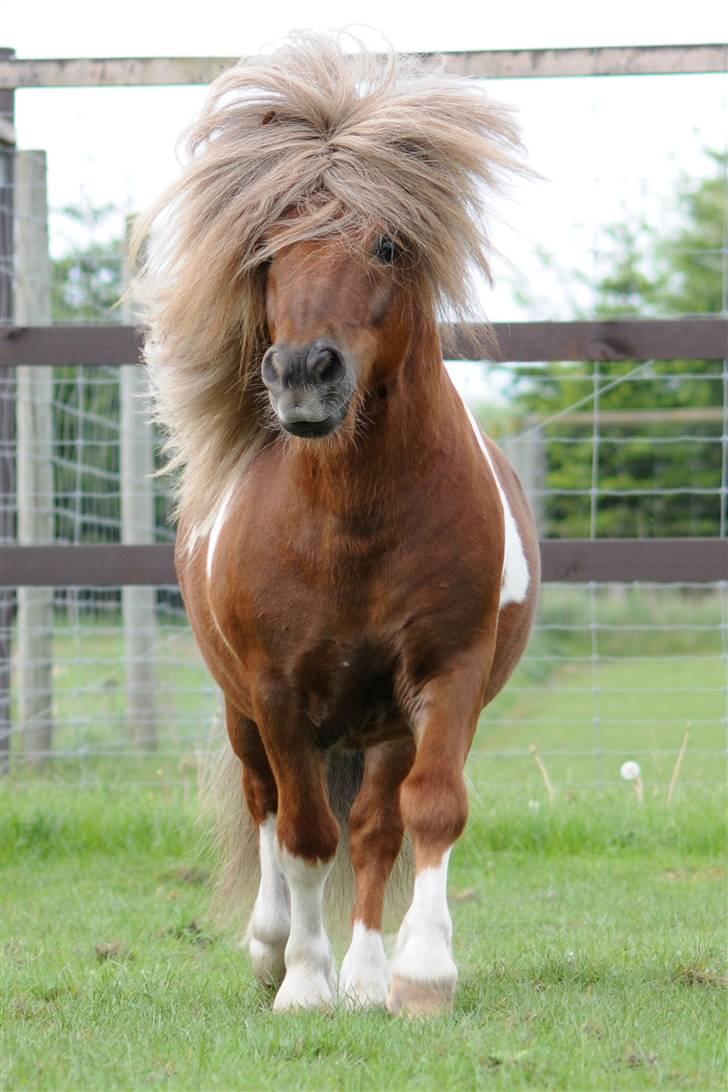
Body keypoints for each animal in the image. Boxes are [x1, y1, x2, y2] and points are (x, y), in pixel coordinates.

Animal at [133, 31, 539, 1013]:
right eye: (269, 249)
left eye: (387, 243)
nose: (303, 375)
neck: (354, 529)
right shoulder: (279, 694)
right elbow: (303, 834)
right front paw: (303, 983)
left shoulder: (446, 676)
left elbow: (426, 812)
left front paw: (417, 977)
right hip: (246, 714)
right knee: (269, 810)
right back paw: (275, 948)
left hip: (382, 725)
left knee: (375, 826)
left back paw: (367, 974)